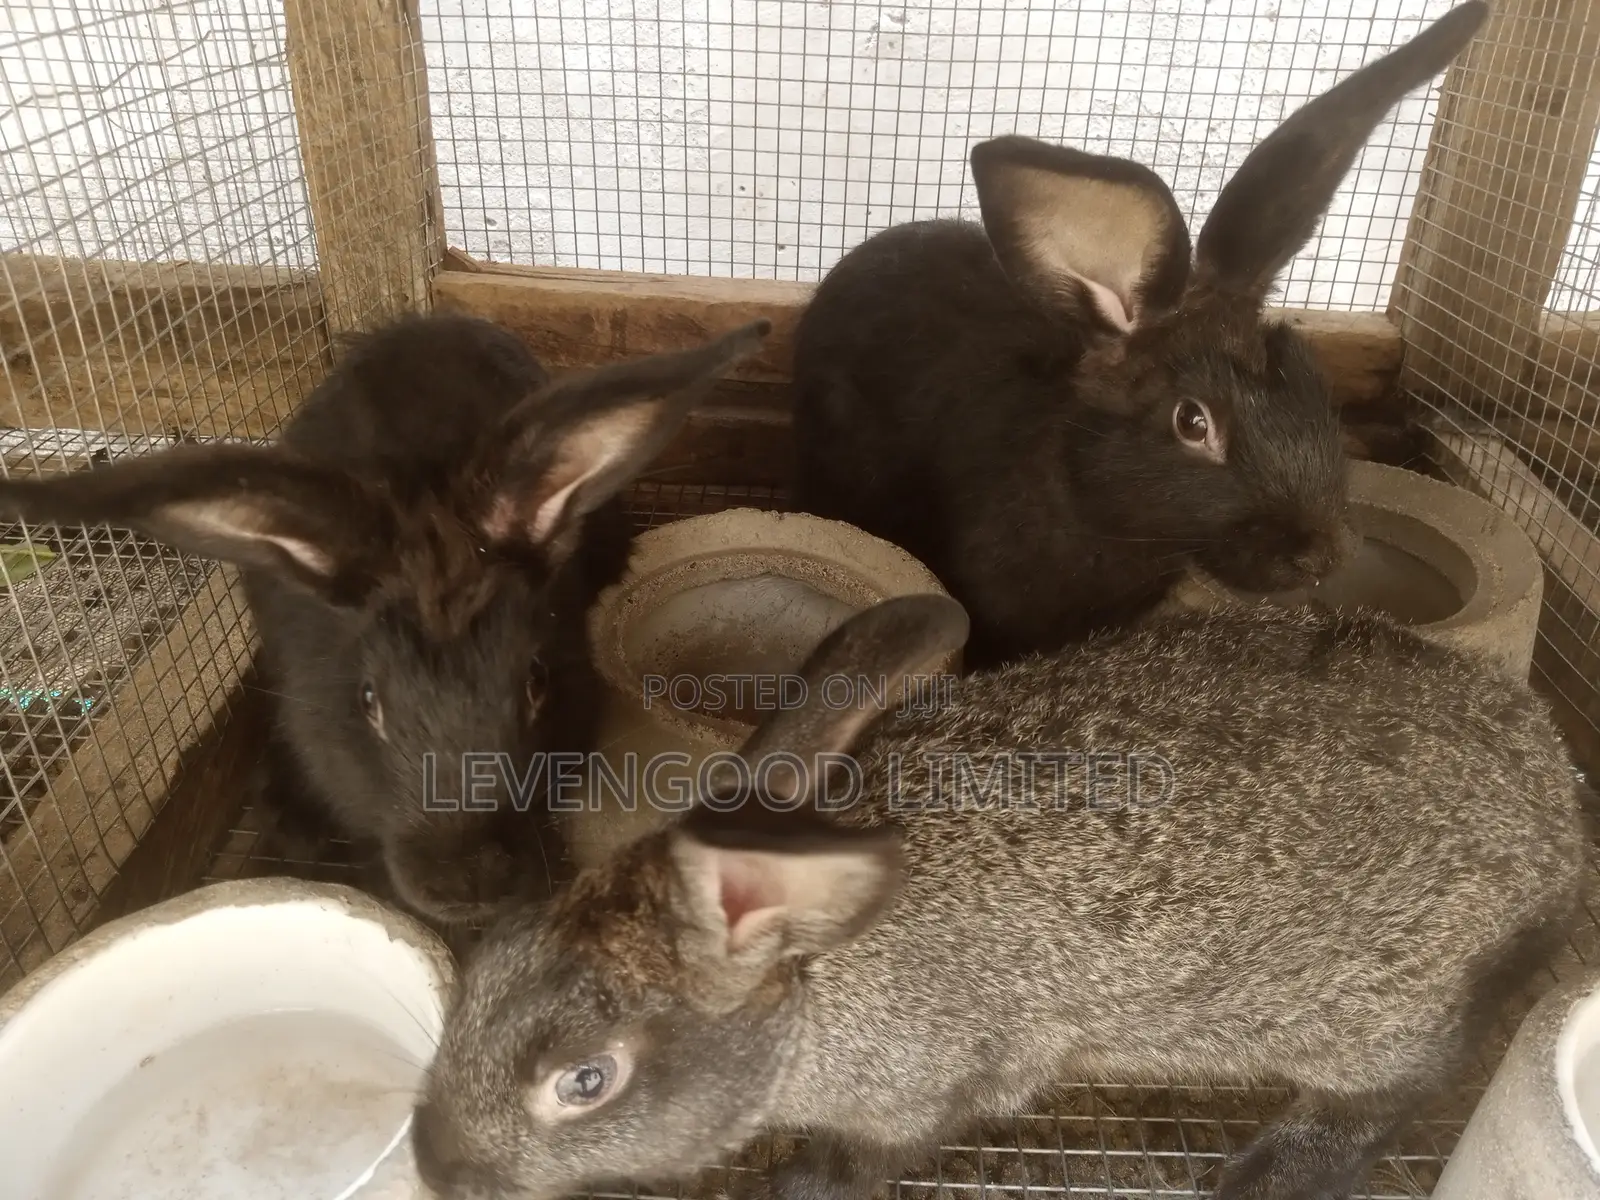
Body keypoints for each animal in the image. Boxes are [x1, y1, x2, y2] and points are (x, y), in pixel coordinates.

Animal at [407, 590, 1588, 1200]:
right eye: (485, 966)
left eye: (586, 1081)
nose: (436, 1164)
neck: (817, 972)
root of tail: (1556, 807)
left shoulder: (926, 1091)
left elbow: (866, 1161)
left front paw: (793, 1189)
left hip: (1379, 1004)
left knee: (1396, 1087)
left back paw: (1265, 1174)